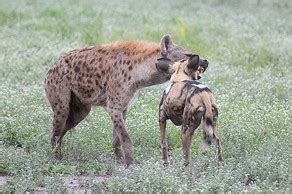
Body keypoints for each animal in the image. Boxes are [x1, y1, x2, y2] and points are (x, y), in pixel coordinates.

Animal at [44, 34, 203, 165]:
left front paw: (120, 159)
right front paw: (130, 162)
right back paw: (56, 158)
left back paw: (60, 155)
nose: (205, 61)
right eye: (188, 55)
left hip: (81, 110)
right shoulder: (114, 107)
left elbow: (117, 136)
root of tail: (53, 66)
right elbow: (125, 136)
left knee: (63, 129)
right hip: (62, 102)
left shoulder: (123, 107)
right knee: (55, 131)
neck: (140, 72)